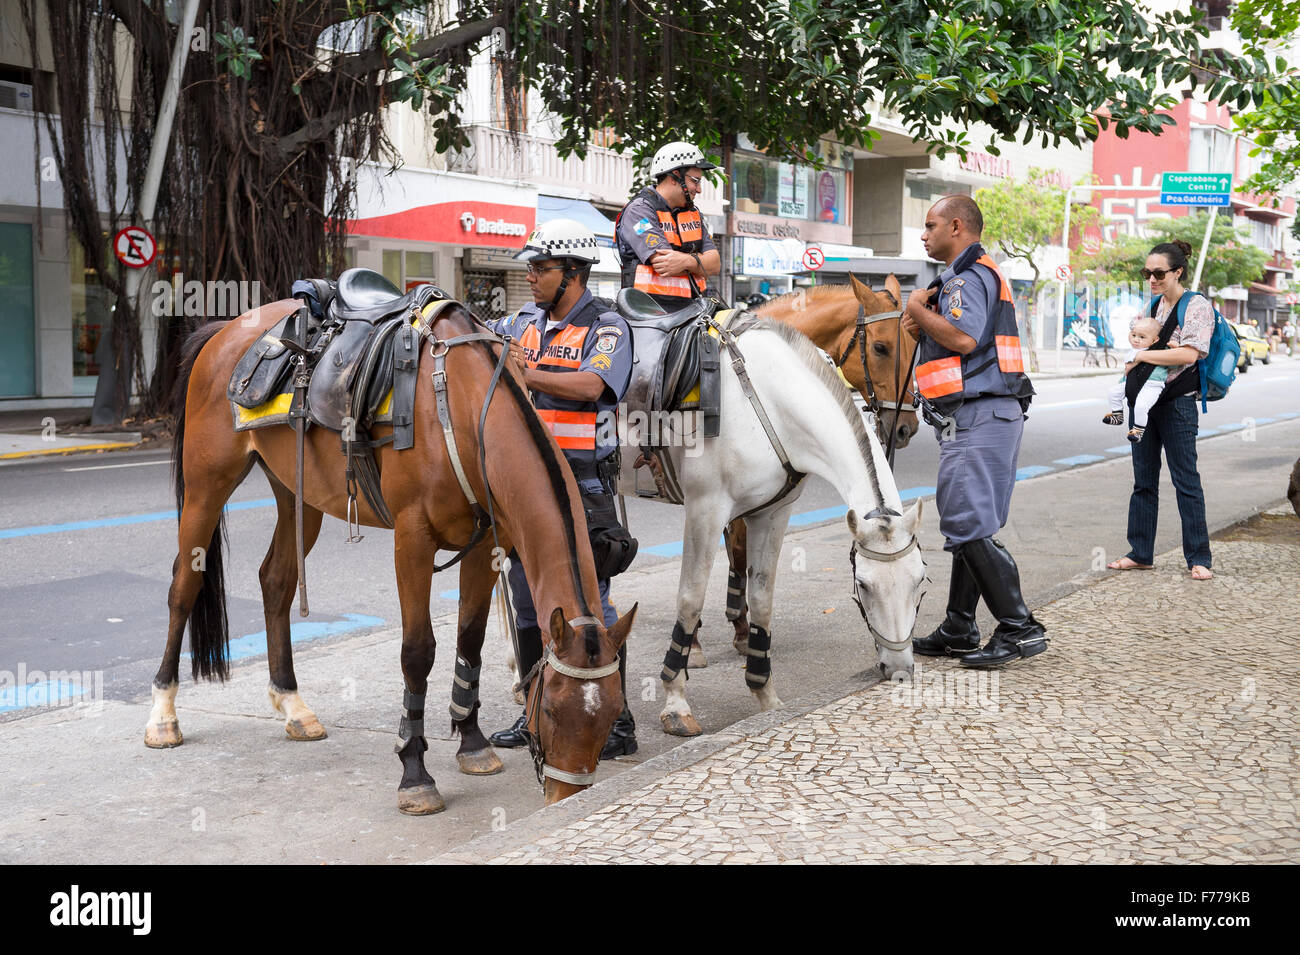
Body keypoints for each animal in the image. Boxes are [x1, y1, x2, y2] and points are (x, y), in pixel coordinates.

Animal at [146, 295, 635, 809]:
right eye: (553, 710)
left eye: (611, 715)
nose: (568, 799)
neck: (461, 405)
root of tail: (225, 330)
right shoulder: (412, 539)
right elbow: (418, 652)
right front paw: (415, 772)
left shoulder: (485, 543)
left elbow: (470, 639)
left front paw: (472, 742)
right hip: (206, 485)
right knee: (184, 585)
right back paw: (163, 714)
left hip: (297, 493)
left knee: (276, 581)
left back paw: (293, 704)